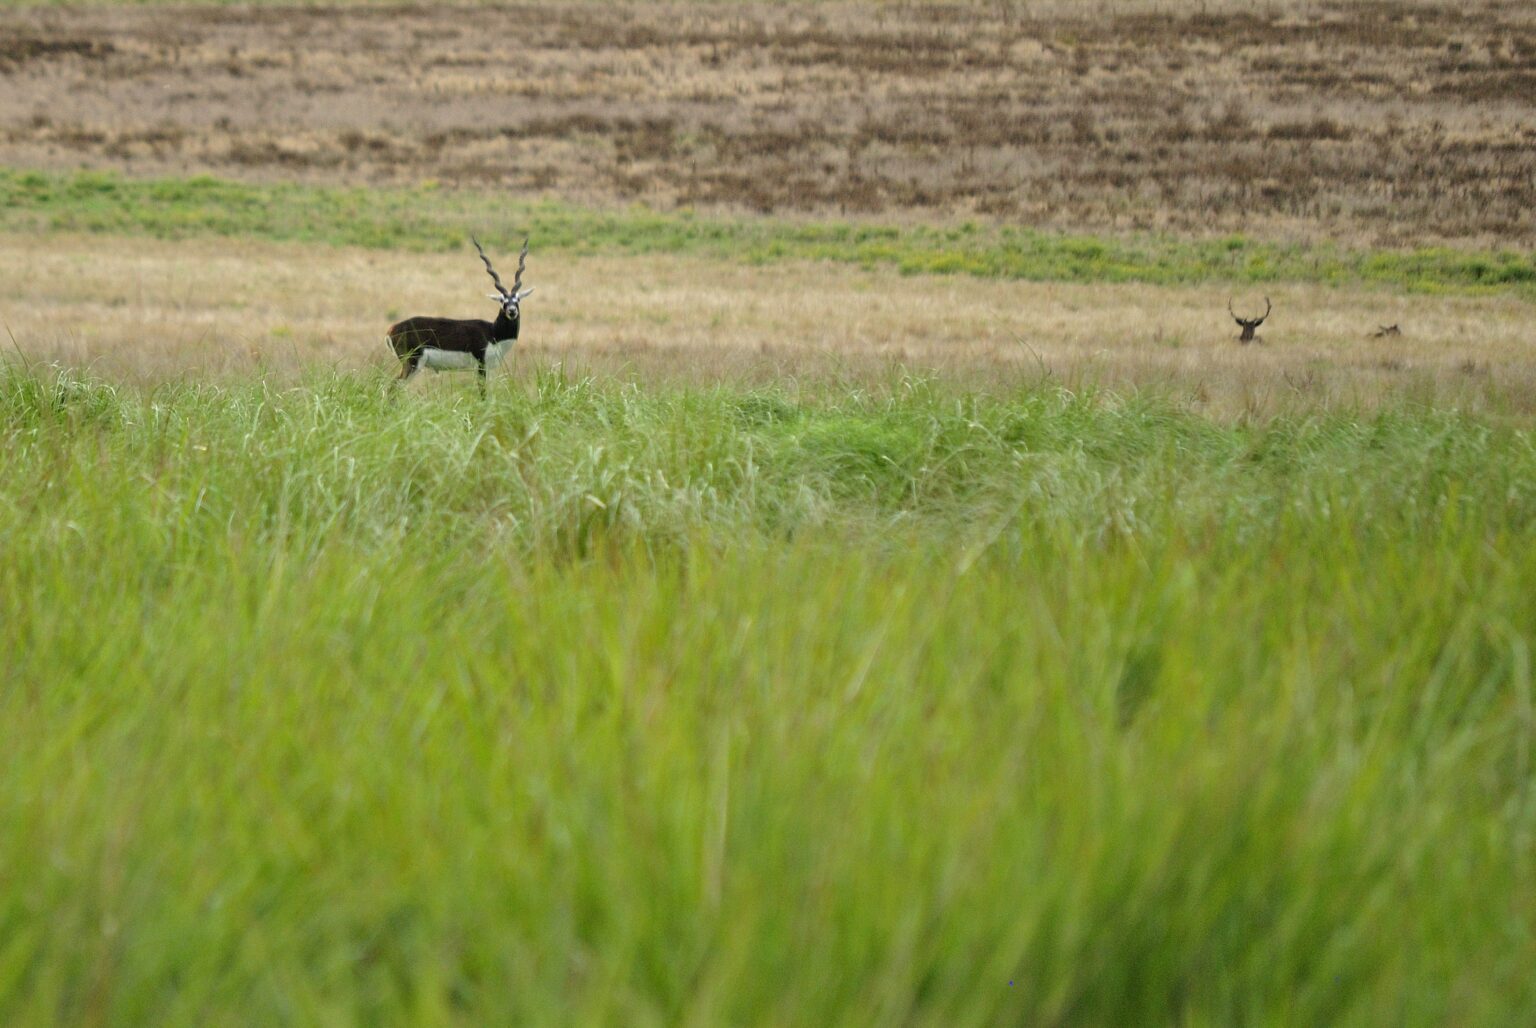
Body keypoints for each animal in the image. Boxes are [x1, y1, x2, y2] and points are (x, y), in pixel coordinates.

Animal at [388, 237, 533, 394]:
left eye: (518, 299)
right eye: (502, 300)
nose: (512, 311)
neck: (492, 333)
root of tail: (392, 329)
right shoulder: (481, 365)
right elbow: (483, 393)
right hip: (413, 363)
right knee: (393, 386)